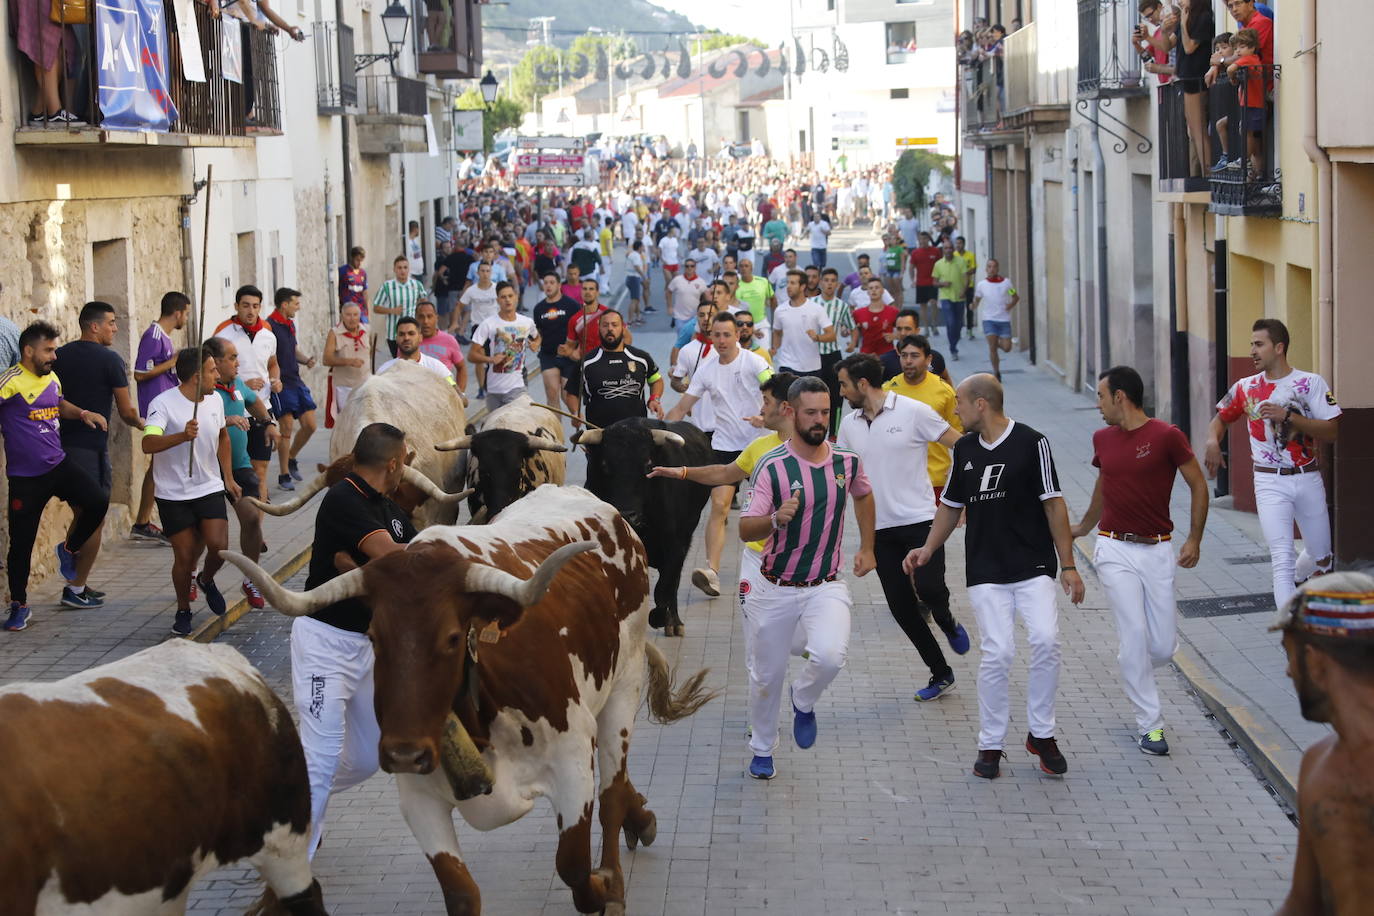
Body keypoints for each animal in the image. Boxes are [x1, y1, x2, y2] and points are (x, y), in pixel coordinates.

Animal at [577, 417, 714, 637]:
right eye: (605, 464)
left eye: (648, 464)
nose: (627, 515)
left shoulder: (675, 544)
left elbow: (664, 587)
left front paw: (658, 617)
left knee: (673, 582)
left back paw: (674, 622)